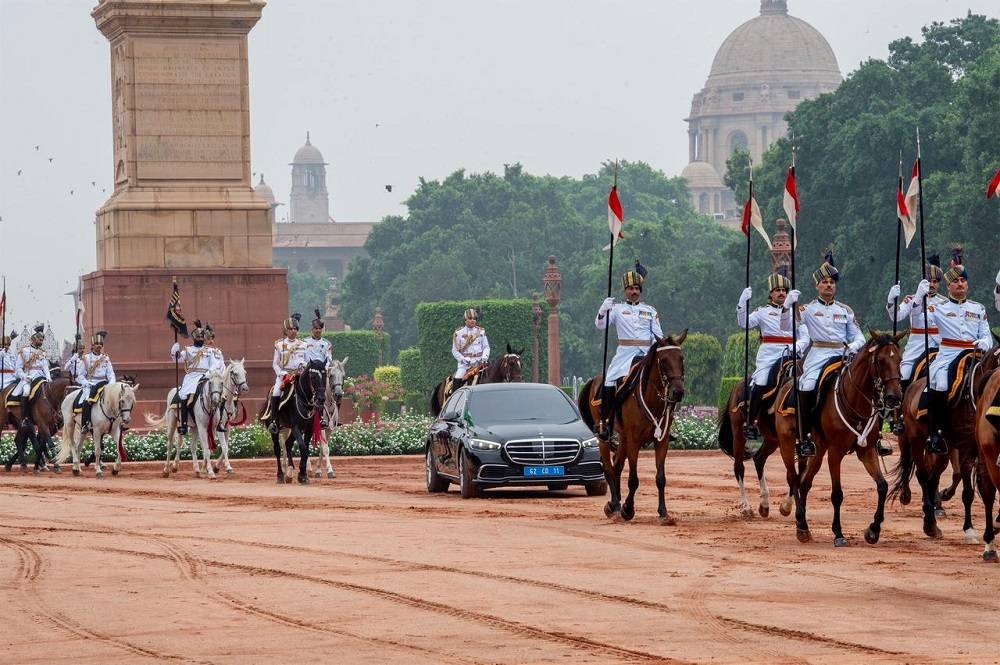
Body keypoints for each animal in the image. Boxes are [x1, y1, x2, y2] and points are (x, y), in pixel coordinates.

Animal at [580, 332, 688, 524]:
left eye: (681, 358)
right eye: (663, 360)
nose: (677, 392)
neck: (652, 399)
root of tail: (596, 379)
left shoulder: (662, 441)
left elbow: (660, 478)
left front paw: (663, 512)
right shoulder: (634, 440)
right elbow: (633, 479)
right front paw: (628, 509)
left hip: (623, 436)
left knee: (616, 466)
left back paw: (613, 504)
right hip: (605, 436)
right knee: (609, 468)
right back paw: (616, 506)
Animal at [772, 330, 908, 544]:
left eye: (900, 359)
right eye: (880, 360)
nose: (894, 397)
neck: (855, 400)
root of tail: (787, 385)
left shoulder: (867, 451)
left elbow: (882, 486)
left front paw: (873, 530)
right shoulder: (835, 453)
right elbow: (837, 494)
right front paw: (838, 533)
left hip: (818, 450)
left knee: (805, 483)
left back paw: (802, 524)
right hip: (787, 443)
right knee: (794, 479)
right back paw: (801, 524)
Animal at [892, 344, 1000, 544]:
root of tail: (912, 387)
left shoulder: (974, 449)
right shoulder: (967, 447)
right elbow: (969, 491)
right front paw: (970, 529)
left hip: (943, 449)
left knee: (933, 477)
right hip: (915, 438)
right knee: (922, 474)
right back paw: (928, 521)